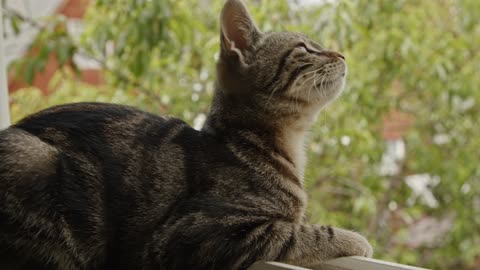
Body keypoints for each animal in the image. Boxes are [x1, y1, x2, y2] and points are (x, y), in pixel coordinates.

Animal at [0, 0, 372, 270]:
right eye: (306, 49)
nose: (341, 54)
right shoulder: (195, 234)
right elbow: (300, 234)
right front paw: (355, 240)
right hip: (31, 161)